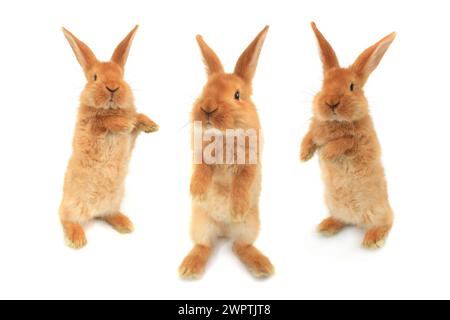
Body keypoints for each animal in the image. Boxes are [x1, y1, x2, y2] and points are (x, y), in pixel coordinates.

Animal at [59, 25, 159, 250]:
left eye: (122, 76)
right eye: (95, 77)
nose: (113, 87)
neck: (110, 109)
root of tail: (93, 213)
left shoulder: (131, 136)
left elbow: (137, 118)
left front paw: (151, 125)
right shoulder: (88, 128)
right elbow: (102, 123)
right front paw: (121, 124)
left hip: (113, 202)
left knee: (107, 215)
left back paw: (125, 224)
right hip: (71, 205)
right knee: (65, 219)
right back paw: (77, 238)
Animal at [179, 26, 274, 278]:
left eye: (237, 95)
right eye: (204, 89)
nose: (207, 108)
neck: (225, 136)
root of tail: (223, 229)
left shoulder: (250, 162)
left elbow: (243, 182)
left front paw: (237, 208)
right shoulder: (201, 154)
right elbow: (201, 170)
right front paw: (197, 193)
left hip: (249, 226)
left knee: (240, 246)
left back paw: (262, 266)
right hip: (200, 224)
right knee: (204, 245)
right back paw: (189, 267)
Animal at [300, 22, 396, 249]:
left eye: (352, 87)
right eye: (323, 84)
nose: (331, 102)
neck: (335, 122)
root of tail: (357, 221)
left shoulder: (360, 140)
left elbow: (344, 141)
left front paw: (326, 153)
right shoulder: (313, 129)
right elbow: (309, 137)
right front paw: (304, 155)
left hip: (378, 210)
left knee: (388, 221)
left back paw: (373, 239)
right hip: (334, 205)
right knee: (343, 220)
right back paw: (326, 226)